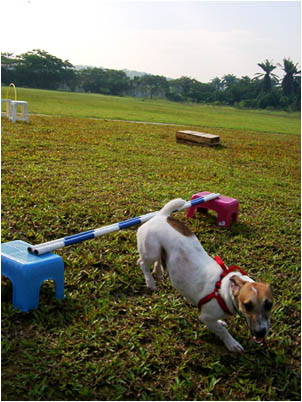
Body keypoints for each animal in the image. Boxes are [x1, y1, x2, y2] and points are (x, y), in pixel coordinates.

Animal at [137, 198, 274, 352]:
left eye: (269, 305)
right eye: (247, 306)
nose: (261, 333)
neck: (223, 290)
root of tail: (162, 215)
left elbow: (219, 323)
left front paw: (222, 322)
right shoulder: (206, 317)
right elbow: (221, 330)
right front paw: (231, 343)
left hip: (159, 250)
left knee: (158, 261)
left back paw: (158, 272)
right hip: (151, 251)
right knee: (141, 262)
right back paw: (150, 281)